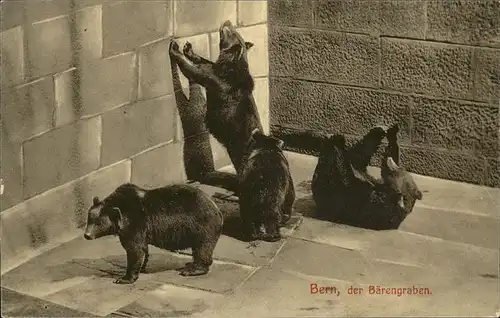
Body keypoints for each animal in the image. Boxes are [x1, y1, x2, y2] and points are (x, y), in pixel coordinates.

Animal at [83, 183, 223, 284]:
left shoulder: (135, 223)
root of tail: (217, 209)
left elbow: (134, 250)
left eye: (98, 223)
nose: (87, 235)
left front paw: (124, 278)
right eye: (89, 219)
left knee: (202, 249)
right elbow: (143, 248)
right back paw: (190, 263)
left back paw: (191, 270)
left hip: (201, 226)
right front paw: (143, 266)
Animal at [168, 19, 262, 194]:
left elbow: (193, 71)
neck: (231, 64)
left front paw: (175, 49)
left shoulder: (215, 79)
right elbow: (205, 61)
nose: (228, 21)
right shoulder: (214, 69)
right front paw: (189, 50)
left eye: (231, 32)